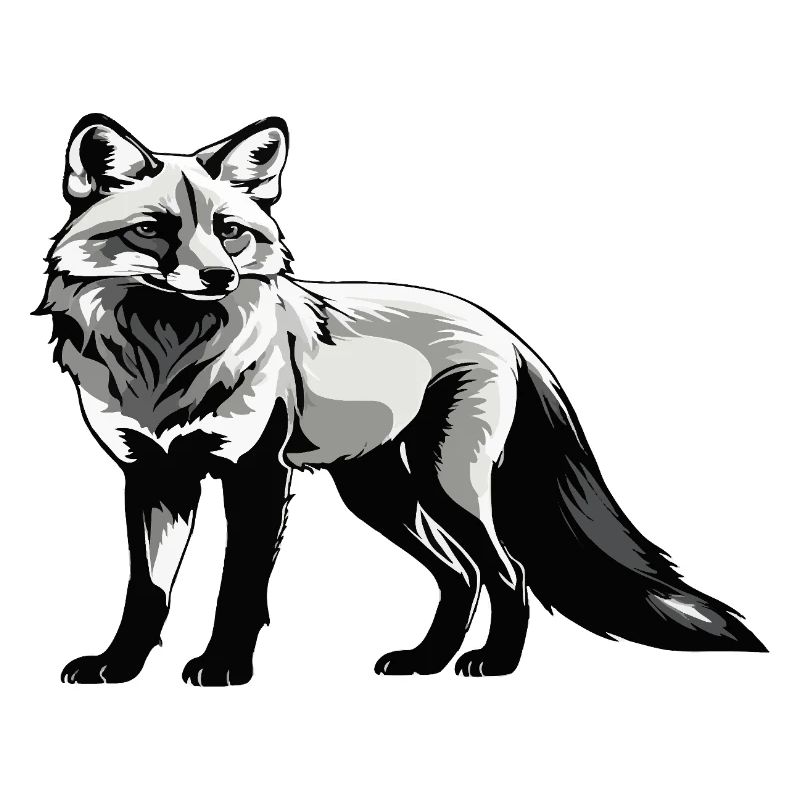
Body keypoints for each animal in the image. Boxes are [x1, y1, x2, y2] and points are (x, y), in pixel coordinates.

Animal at [36, 113, 766, 685]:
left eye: (231, 231)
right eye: (152, 230)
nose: (221, 276)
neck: (165, 358)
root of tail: (504, 330)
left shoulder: (255, 474)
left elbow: (236, 586)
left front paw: (223, 667)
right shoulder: (153, 476)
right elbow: (147, 591)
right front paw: (118, 665)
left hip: (447, 486)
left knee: (507, 572)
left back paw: (494, 664)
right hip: (381, 494)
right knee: (461, 576)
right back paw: (424, 661)